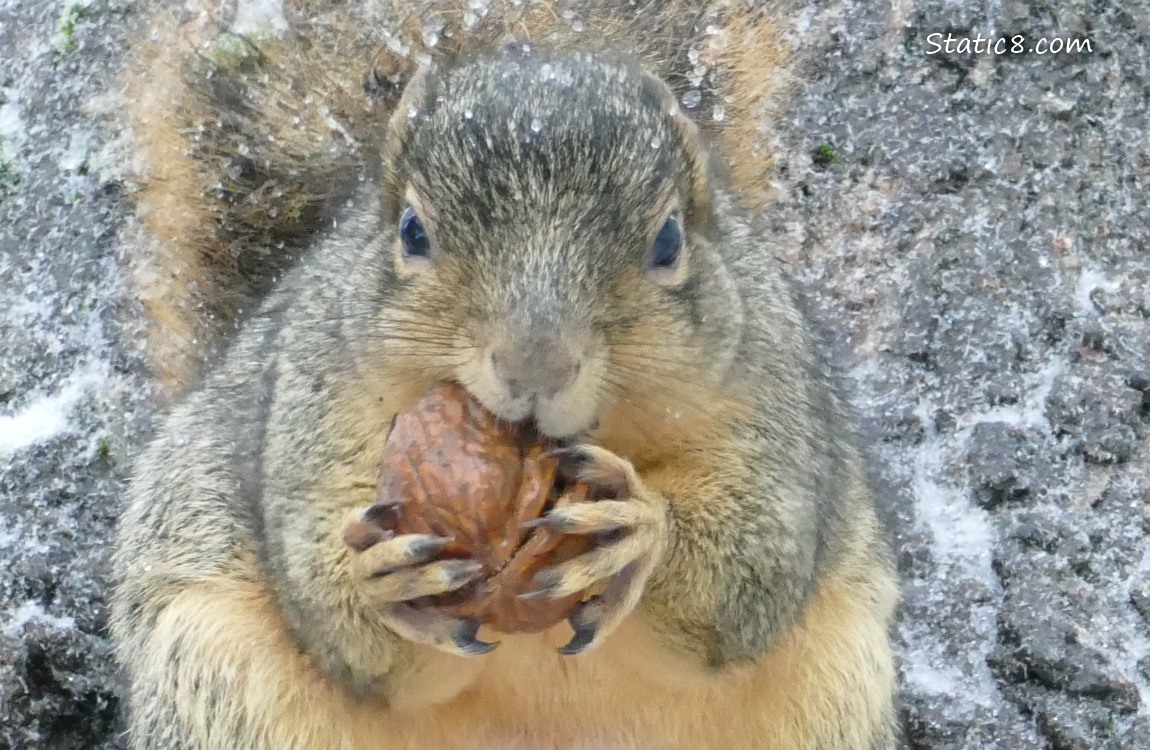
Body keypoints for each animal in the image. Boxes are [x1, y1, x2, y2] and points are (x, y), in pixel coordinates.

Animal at [114, 1, 906, 750]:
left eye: (670, 241)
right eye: (412, 233)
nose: (534, 367)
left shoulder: (773, 403)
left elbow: (753, 570)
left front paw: (641, 529)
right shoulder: (312, 405)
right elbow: (347, 630)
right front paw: (382, 582)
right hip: (218, 672)